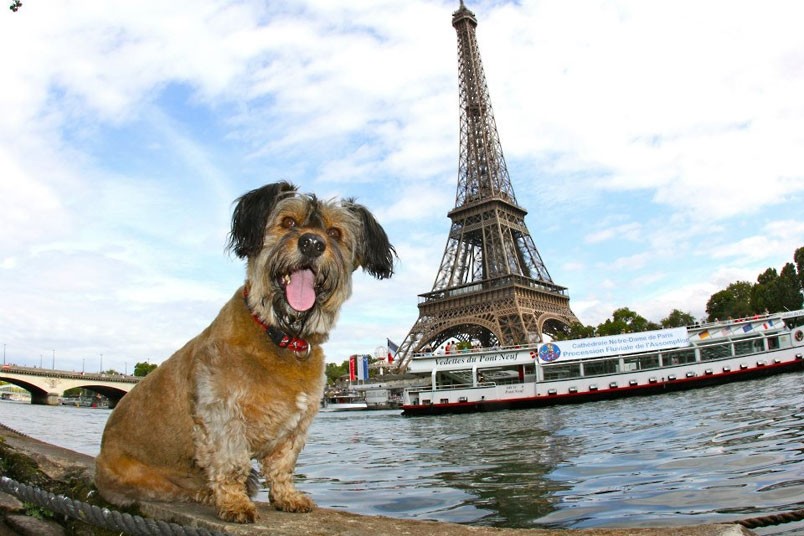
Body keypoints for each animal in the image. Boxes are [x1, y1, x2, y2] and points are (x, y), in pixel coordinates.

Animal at [95, 183, 396, 524]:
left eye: (334, 232)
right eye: (288, 222)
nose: (312, 243)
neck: (281, 337)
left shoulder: (295, 429)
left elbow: (282, 466)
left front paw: (286, 497)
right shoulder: (222, 417)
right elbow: (232, 465)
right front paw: (234, 503)